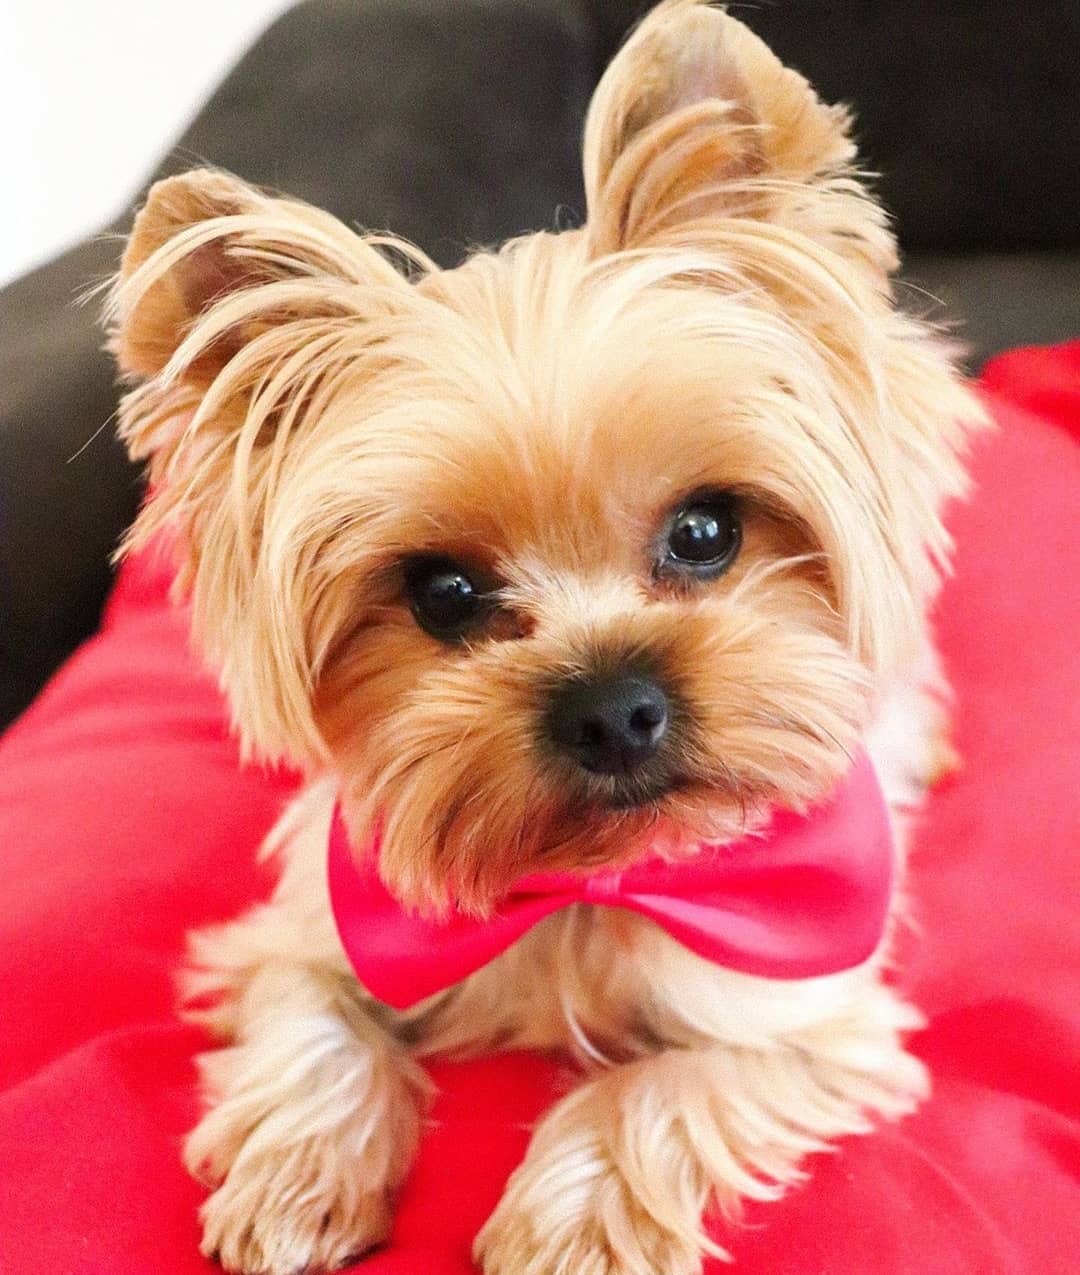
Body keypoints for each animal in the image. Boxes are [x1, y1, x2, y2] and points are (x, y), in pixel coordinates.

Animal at [107, 4, 979, 1269]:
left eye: (706, 530)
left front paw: (569, 1225)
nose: (611, 707)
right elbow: (312, 1020)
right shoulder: (298, 934)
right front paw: (296, 1179)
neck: (589, 884)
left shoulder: (809, 1019)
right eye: (443, 594)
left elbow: (656, 1089)